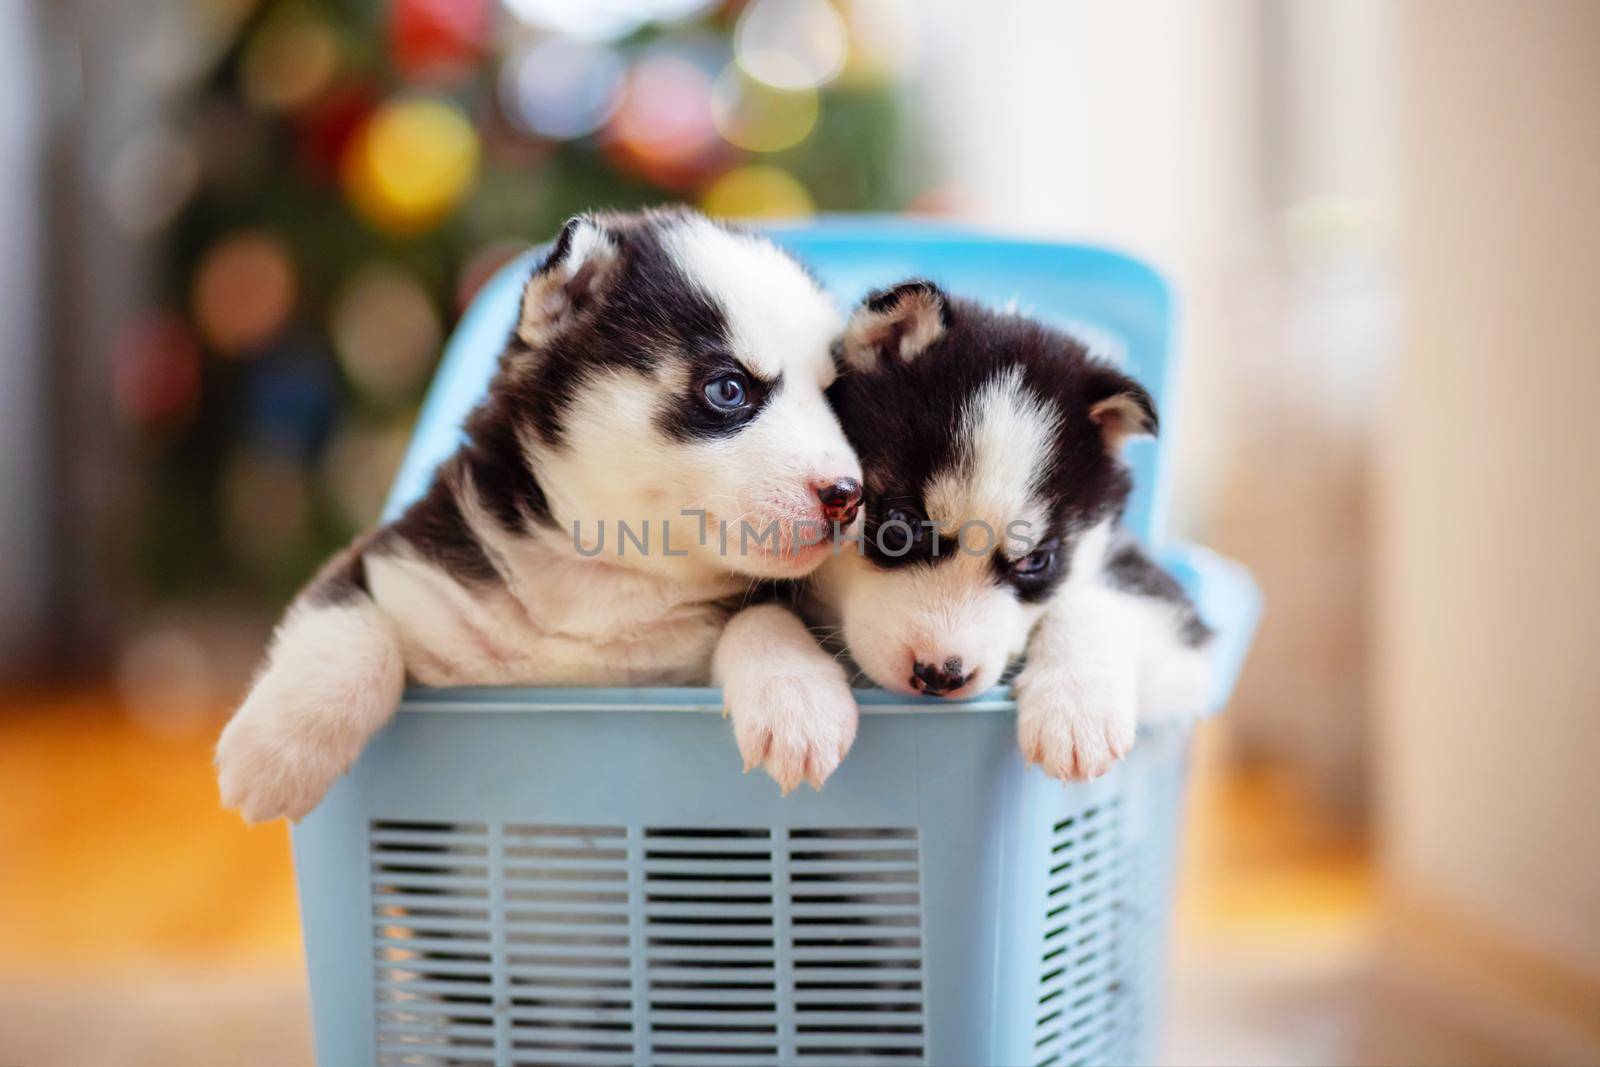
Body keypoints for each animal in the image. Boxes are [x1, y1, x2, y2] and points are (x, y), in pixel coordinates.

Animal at [812, 281, 1209, 783]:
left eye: (1035, 561)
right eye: (900, 526)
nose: (941, 674)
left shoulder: (1176, 630)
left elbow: (1096, 598)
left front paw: (1076, 705)